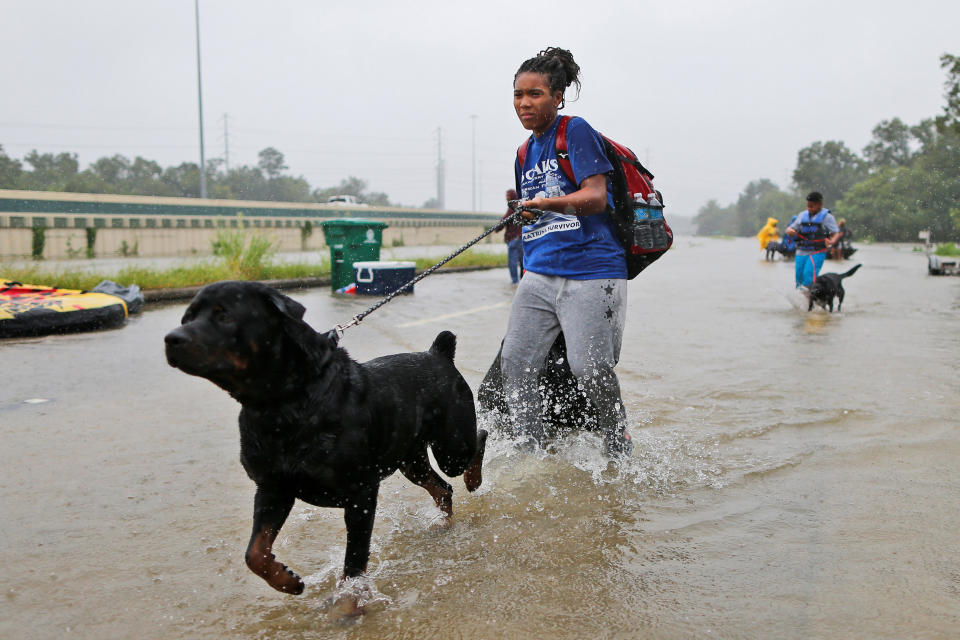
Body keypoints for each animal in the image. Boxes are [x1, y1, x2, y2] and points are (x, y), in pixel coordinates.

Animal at [162, 280, 488, 616]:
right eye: (187, 317)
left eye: (224, 315)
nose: (172, 338)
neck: (284, 404)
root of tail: (439, 354)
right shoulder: (273, 488)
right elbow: (255, 552)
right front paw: (288, 581)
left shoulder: (360, 494)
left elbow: (354, 561)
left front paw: (348, 604)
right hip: (410, 461)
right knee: (442, 487)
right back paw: (442, 523)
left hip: (451, 446)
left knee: (478, 439)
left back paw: (473, 480)